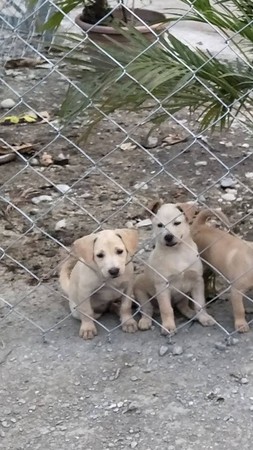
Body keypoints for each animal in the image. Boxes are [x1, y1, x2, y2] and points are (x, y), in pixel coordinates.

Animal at [133, 202, 214, 332]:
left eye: (177, 223)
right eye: (160, 225)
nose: (168, 237)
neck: (177, 253)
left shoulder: (197, 281)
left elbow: (200, 303)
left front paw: (204, 318)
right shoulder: (162, 286)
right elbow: (166, 309)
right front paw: (168, 326)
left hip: (183, 295)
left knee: (182, 305)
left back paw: (191, 314)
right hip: (140, 290)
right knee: (147, 309)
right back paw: (145, 321)